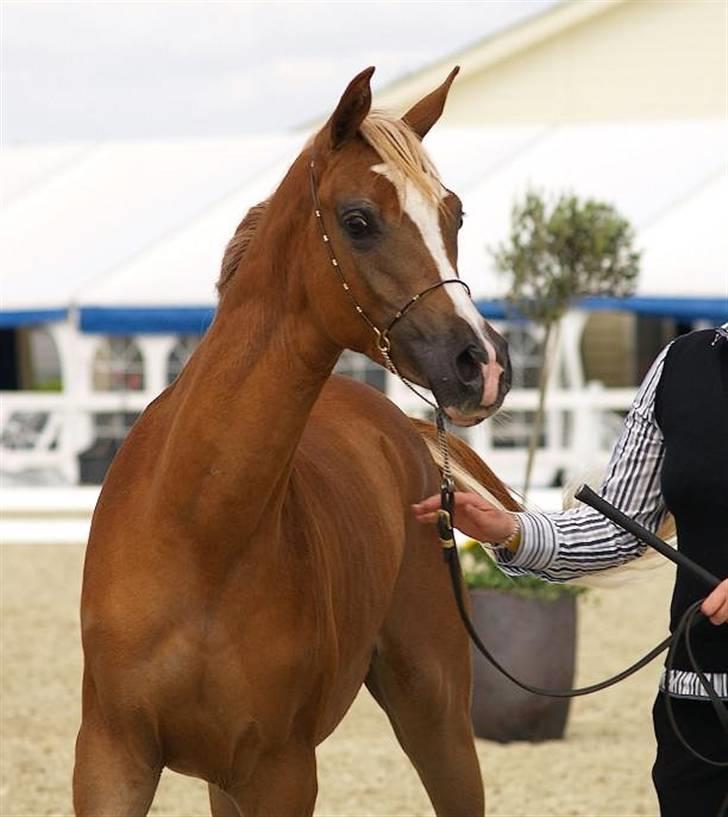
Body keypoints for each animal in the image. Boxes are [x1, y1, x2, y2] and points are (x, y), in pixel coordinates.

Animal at [71, 68, 510, 816]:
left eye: (453, 216)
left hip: (436, 714)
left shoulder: (279, 770)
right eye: (358, 220)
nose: (481, 363)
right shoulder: (111, 760)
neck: (196, 530)